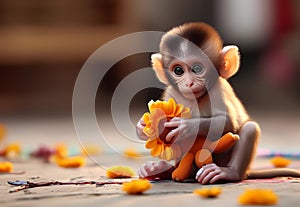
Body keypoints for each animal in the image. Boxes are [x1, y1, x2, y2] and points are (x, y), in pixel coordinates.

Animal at [137, 23, 300, 184]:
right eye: (178, 70)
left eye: (197, 68)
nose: (189, 83)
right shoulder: (171, 93)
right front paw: (142, 127)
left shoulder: (217, 89)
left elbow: (227, 121)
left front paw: (187, 126)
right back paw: (161, 170)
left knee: (249, 128)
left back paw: (228, 172)